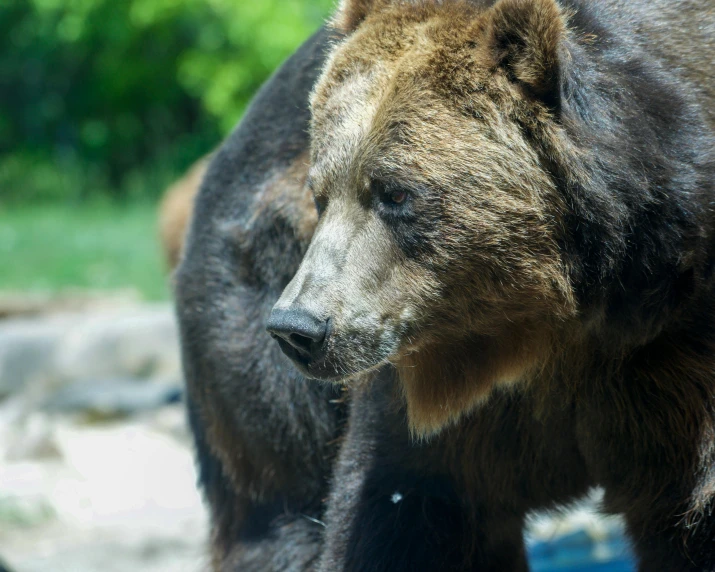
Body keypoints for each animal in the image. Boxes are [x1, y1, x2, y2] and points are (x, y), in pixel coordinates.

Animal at [268, 0, 715, 568]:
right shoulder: (452, 396)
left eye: (395, 193)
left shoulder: (673, 359)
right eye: (321, 193)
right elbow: (405, 514)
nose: (297, 326)